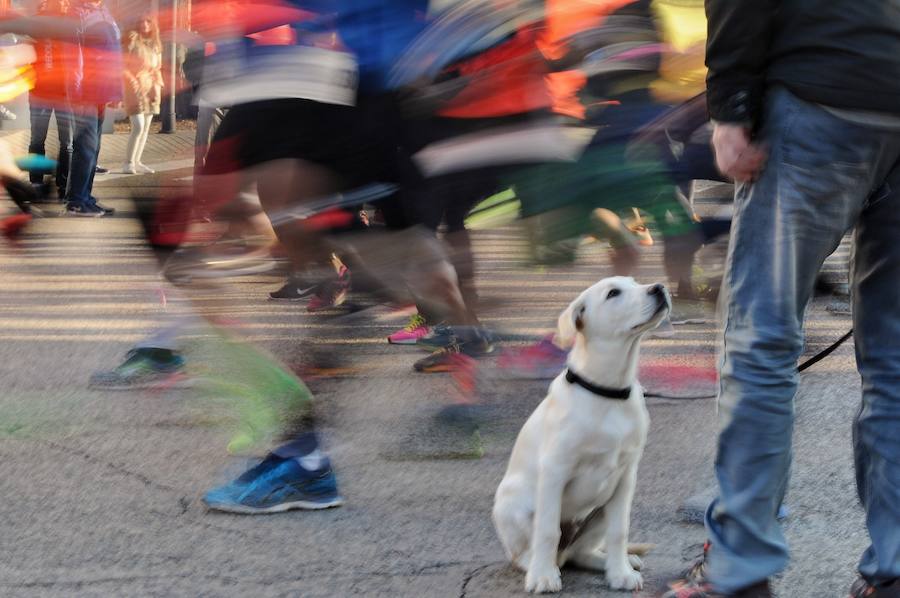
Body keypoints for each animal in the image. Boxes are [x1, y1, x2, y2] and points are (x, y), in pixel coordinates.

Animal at [496, 278, 672, 596]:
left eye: (635, 282)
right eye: (613, 293)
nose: (659, 288)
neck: (609, 390)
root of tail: (563, 555)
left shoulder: (626, 476)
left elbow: (619, 531)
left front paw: (620, 574)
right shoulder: (555, 470)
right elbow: (547, 530)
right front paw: (543, 577)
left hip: (599, 512)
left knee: (579, 553)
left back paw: (619, 562)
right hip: (514, 504)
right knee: (528, 552)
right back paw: (540, 567)